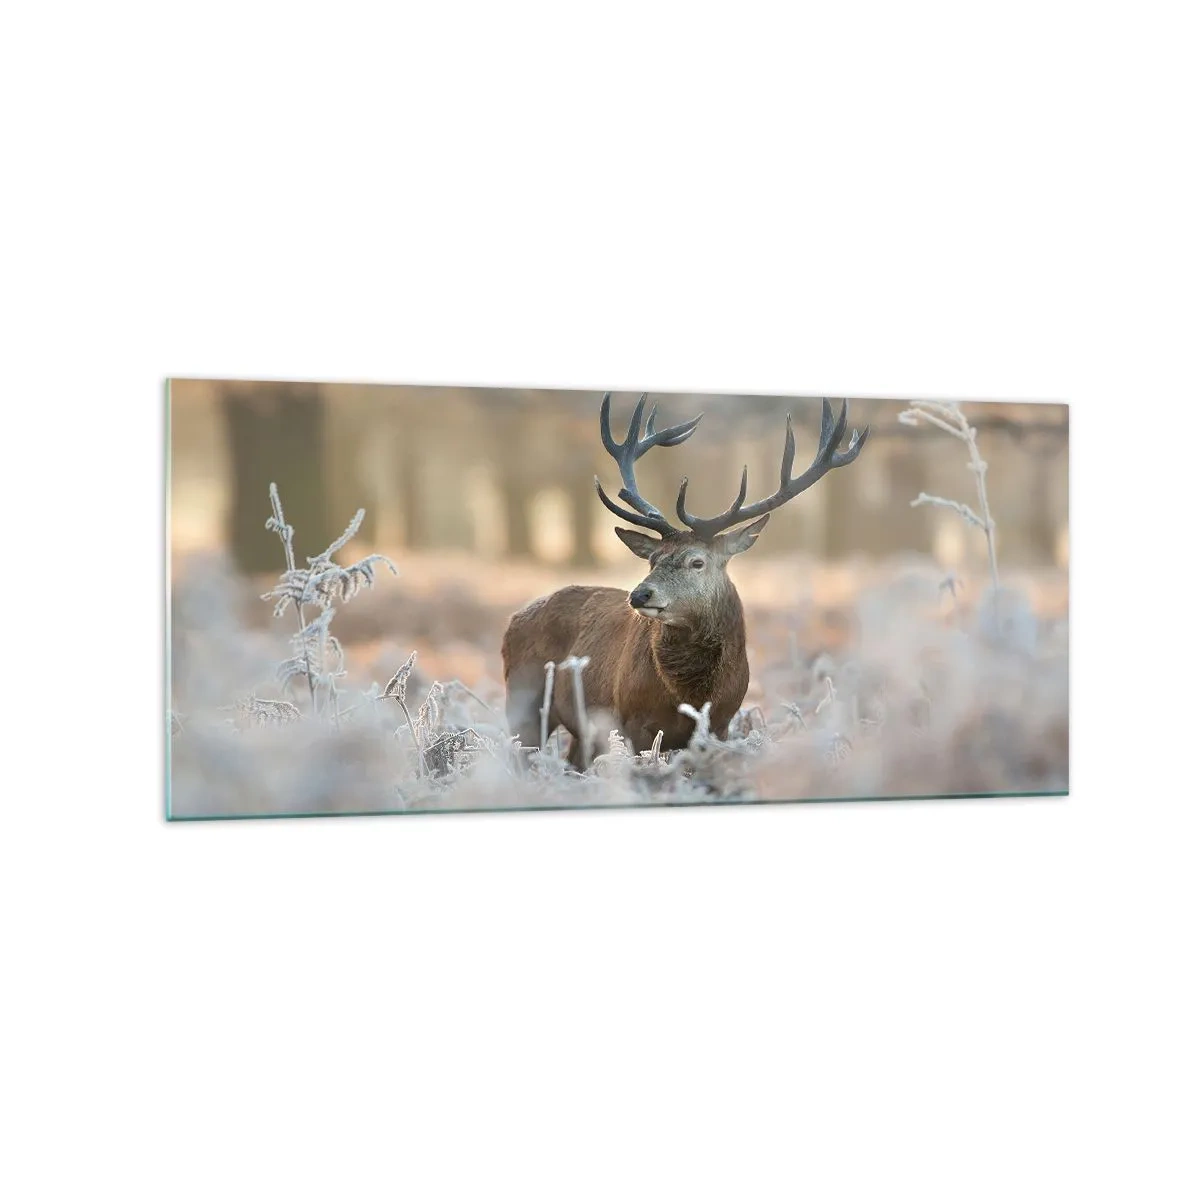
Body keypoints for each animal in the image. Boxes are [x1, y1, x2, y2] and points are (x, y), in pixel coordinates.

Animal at [501, 392, 869, 770]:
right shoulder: (631, 721)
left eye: (697, 561)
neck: (691, 694)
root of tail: (515, 619)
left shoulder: (720, 724)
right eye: (652, 559)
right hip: (522, 698)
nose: (640, 595)